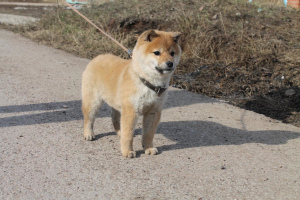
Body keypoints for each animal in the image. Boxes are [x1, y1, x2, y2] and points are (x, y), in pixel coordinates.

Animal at [81, 29, 182, 158]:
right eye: (157, 53)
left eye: (172, 53)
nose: (170, 63)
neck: (148, 83)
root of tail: (97, 58)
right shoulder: (131, 110)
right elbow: (128, 134)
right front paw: (127, 151)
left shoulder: (153, 112)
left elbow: (148, 134)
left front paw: (148, 148)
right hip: (93, 102)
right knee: (89, 119)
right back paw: (88, 134)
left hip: (117, 104)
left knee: (115, 119)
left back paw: (119, 132)